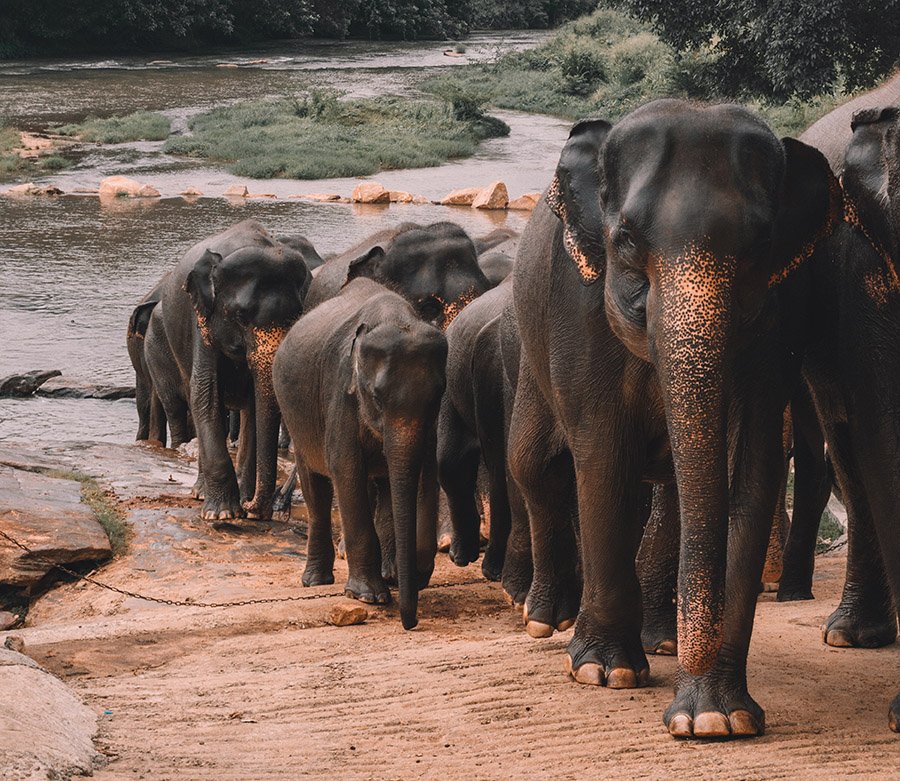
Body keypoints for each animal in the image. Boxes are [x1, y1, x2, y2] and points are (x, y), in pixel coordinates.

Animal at [143, 219, 311, 521]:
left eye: (297, 316)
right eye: (241, 316)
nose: (255, 509)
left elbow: (255, 403)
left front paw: (244, 505)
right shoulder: (201, 321)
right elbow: (205, 394)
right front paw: (223, 515)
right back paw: (201, 493)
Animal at [273, 277, 447, 630]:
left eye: (438, 395)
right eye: (376, 397)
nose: (410, 623)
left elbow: (422, 471)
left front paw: (408, 576)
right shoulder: (341, 392)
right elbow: (346, 469)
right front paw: (369, 596)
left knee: (380, 486)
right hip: (296, 416)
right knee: (316, 487)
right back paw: (316, 581)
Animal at [507, 99, 846, 738]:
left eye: (762, 243)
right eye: (625, 239)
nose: (685, 712)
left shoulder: (778, 320)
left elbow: (751, 471)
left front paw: (716, 718)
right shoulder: (577, 307)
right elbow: (602, 457)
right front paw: (605, 673)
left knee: (668, 492)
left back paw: (660, 640)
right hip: (530, 349)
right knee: (535, 465)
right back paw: (546, 621)